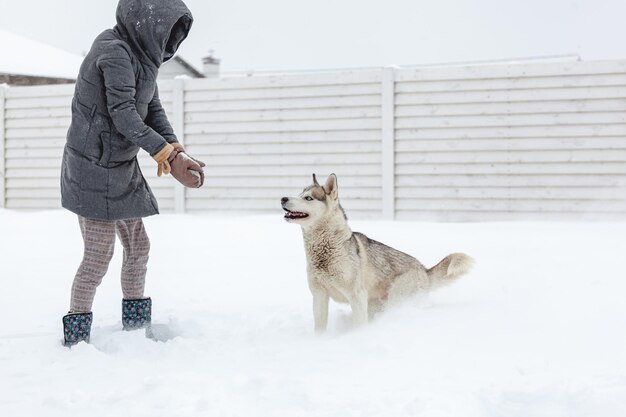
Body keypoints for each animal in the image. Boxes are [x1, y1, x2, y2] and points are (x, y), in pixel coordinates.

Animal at [280, 172, 470, 332]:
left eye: (308, 198)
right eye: (299, 194)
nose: (283, 198)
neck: (327, 249)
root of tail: (424, 269)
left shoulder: (356, 296)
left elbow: (359, 325)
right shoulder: (319, 296)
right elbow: (319, 327)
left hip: (395, 299)